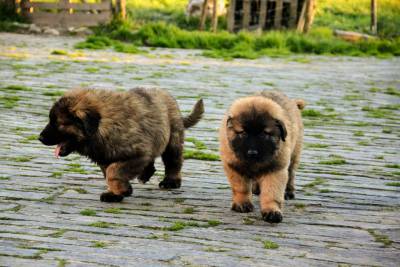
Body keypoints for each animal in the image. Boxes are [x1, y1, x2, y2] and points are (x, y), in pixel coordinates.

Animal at [39, 88, 205, 203]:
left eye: (58, 123)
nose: (40, 138)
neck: (103, 125)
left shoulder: (137, 154)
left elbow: (114, 172)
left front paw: (118, 192)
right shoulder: (105, 157)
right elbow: (109, 174)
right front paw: (118, 192)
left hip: (173, 140)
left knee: (173, 162)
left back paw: (170, 182)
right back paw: (145, 175)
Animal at [220, 91, 304, 224]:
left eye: (264, 133)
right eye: (243, 132)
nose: (252, 153)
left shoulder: (276, 169)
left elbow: (272, 193)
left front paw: (272, 211)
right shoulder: (234, 166)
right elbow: (241, 188)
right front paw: (242, 204)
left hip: (294, 153)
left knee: (291, 173)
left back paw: (289, 192)